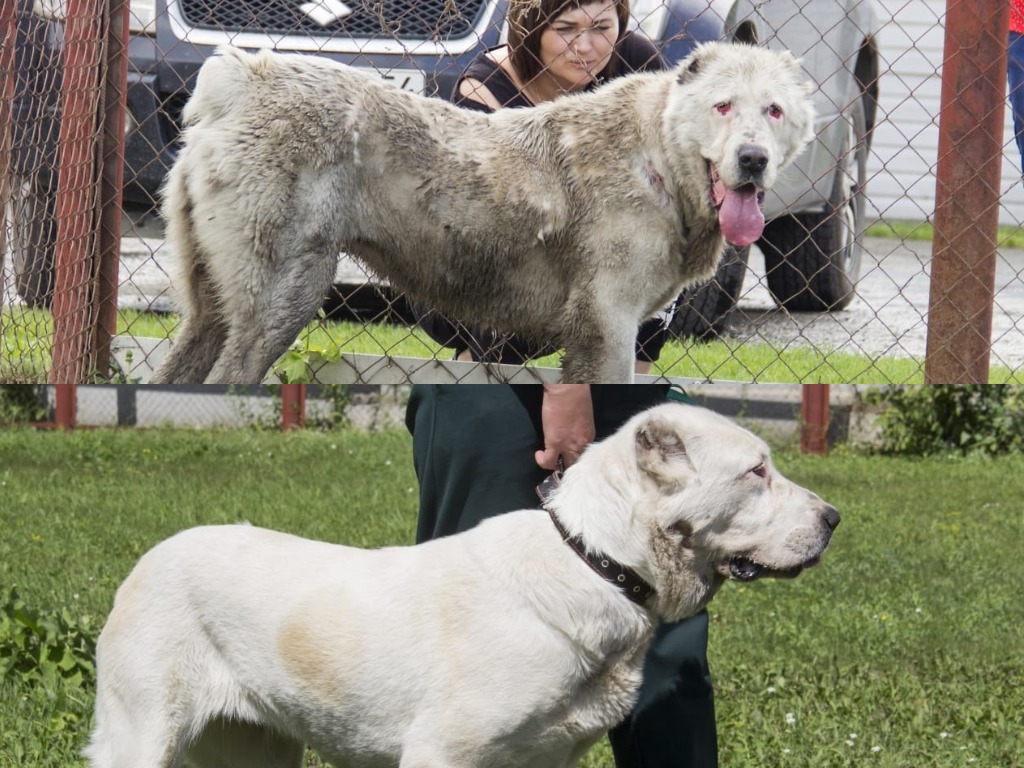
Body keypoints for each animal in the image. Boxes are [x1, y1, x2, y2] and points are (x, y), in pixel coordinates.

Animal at [86, 405, 839, 765]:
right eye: (756, 472)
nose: (834, 519)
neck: (594, 561)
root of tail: (147, 560)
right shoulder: (439, 754)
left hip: (256, 749)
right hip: (142, 733)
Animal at [148, 41, 811, 385]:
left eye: (773, 111)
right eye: (723, 107)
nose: (752, 159)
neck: (659, 155)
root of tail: (239, 77)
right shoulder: (610, 322)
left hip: (215, 300)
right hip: (286, 293)